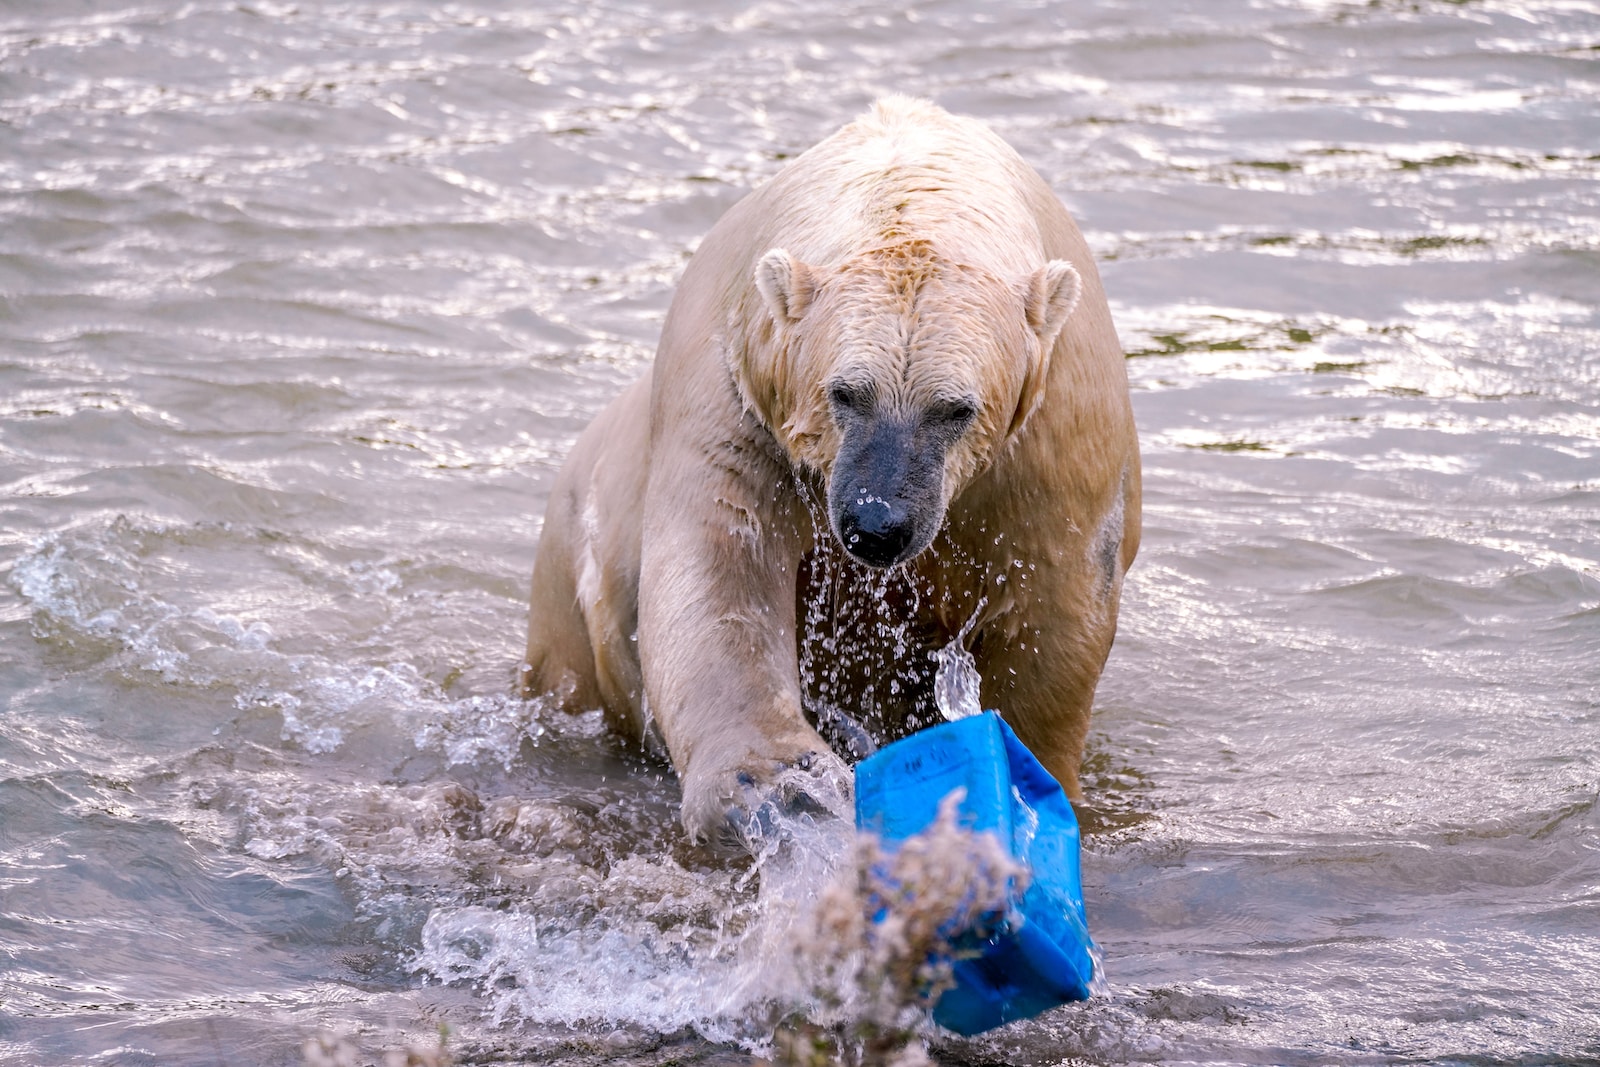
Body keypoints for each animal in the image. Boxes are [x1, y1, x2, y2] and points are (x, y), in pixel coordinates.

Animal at [521, 95, 1139, 857]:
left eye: (955, 408)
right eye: (845, 393)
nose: (877, 524)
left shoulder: (1058, 429)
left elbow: (1055, 604)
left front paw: (1025, 781)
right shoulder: (735, 384)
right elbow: (722, 563)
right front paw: (782, 782)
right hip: (568, 590)